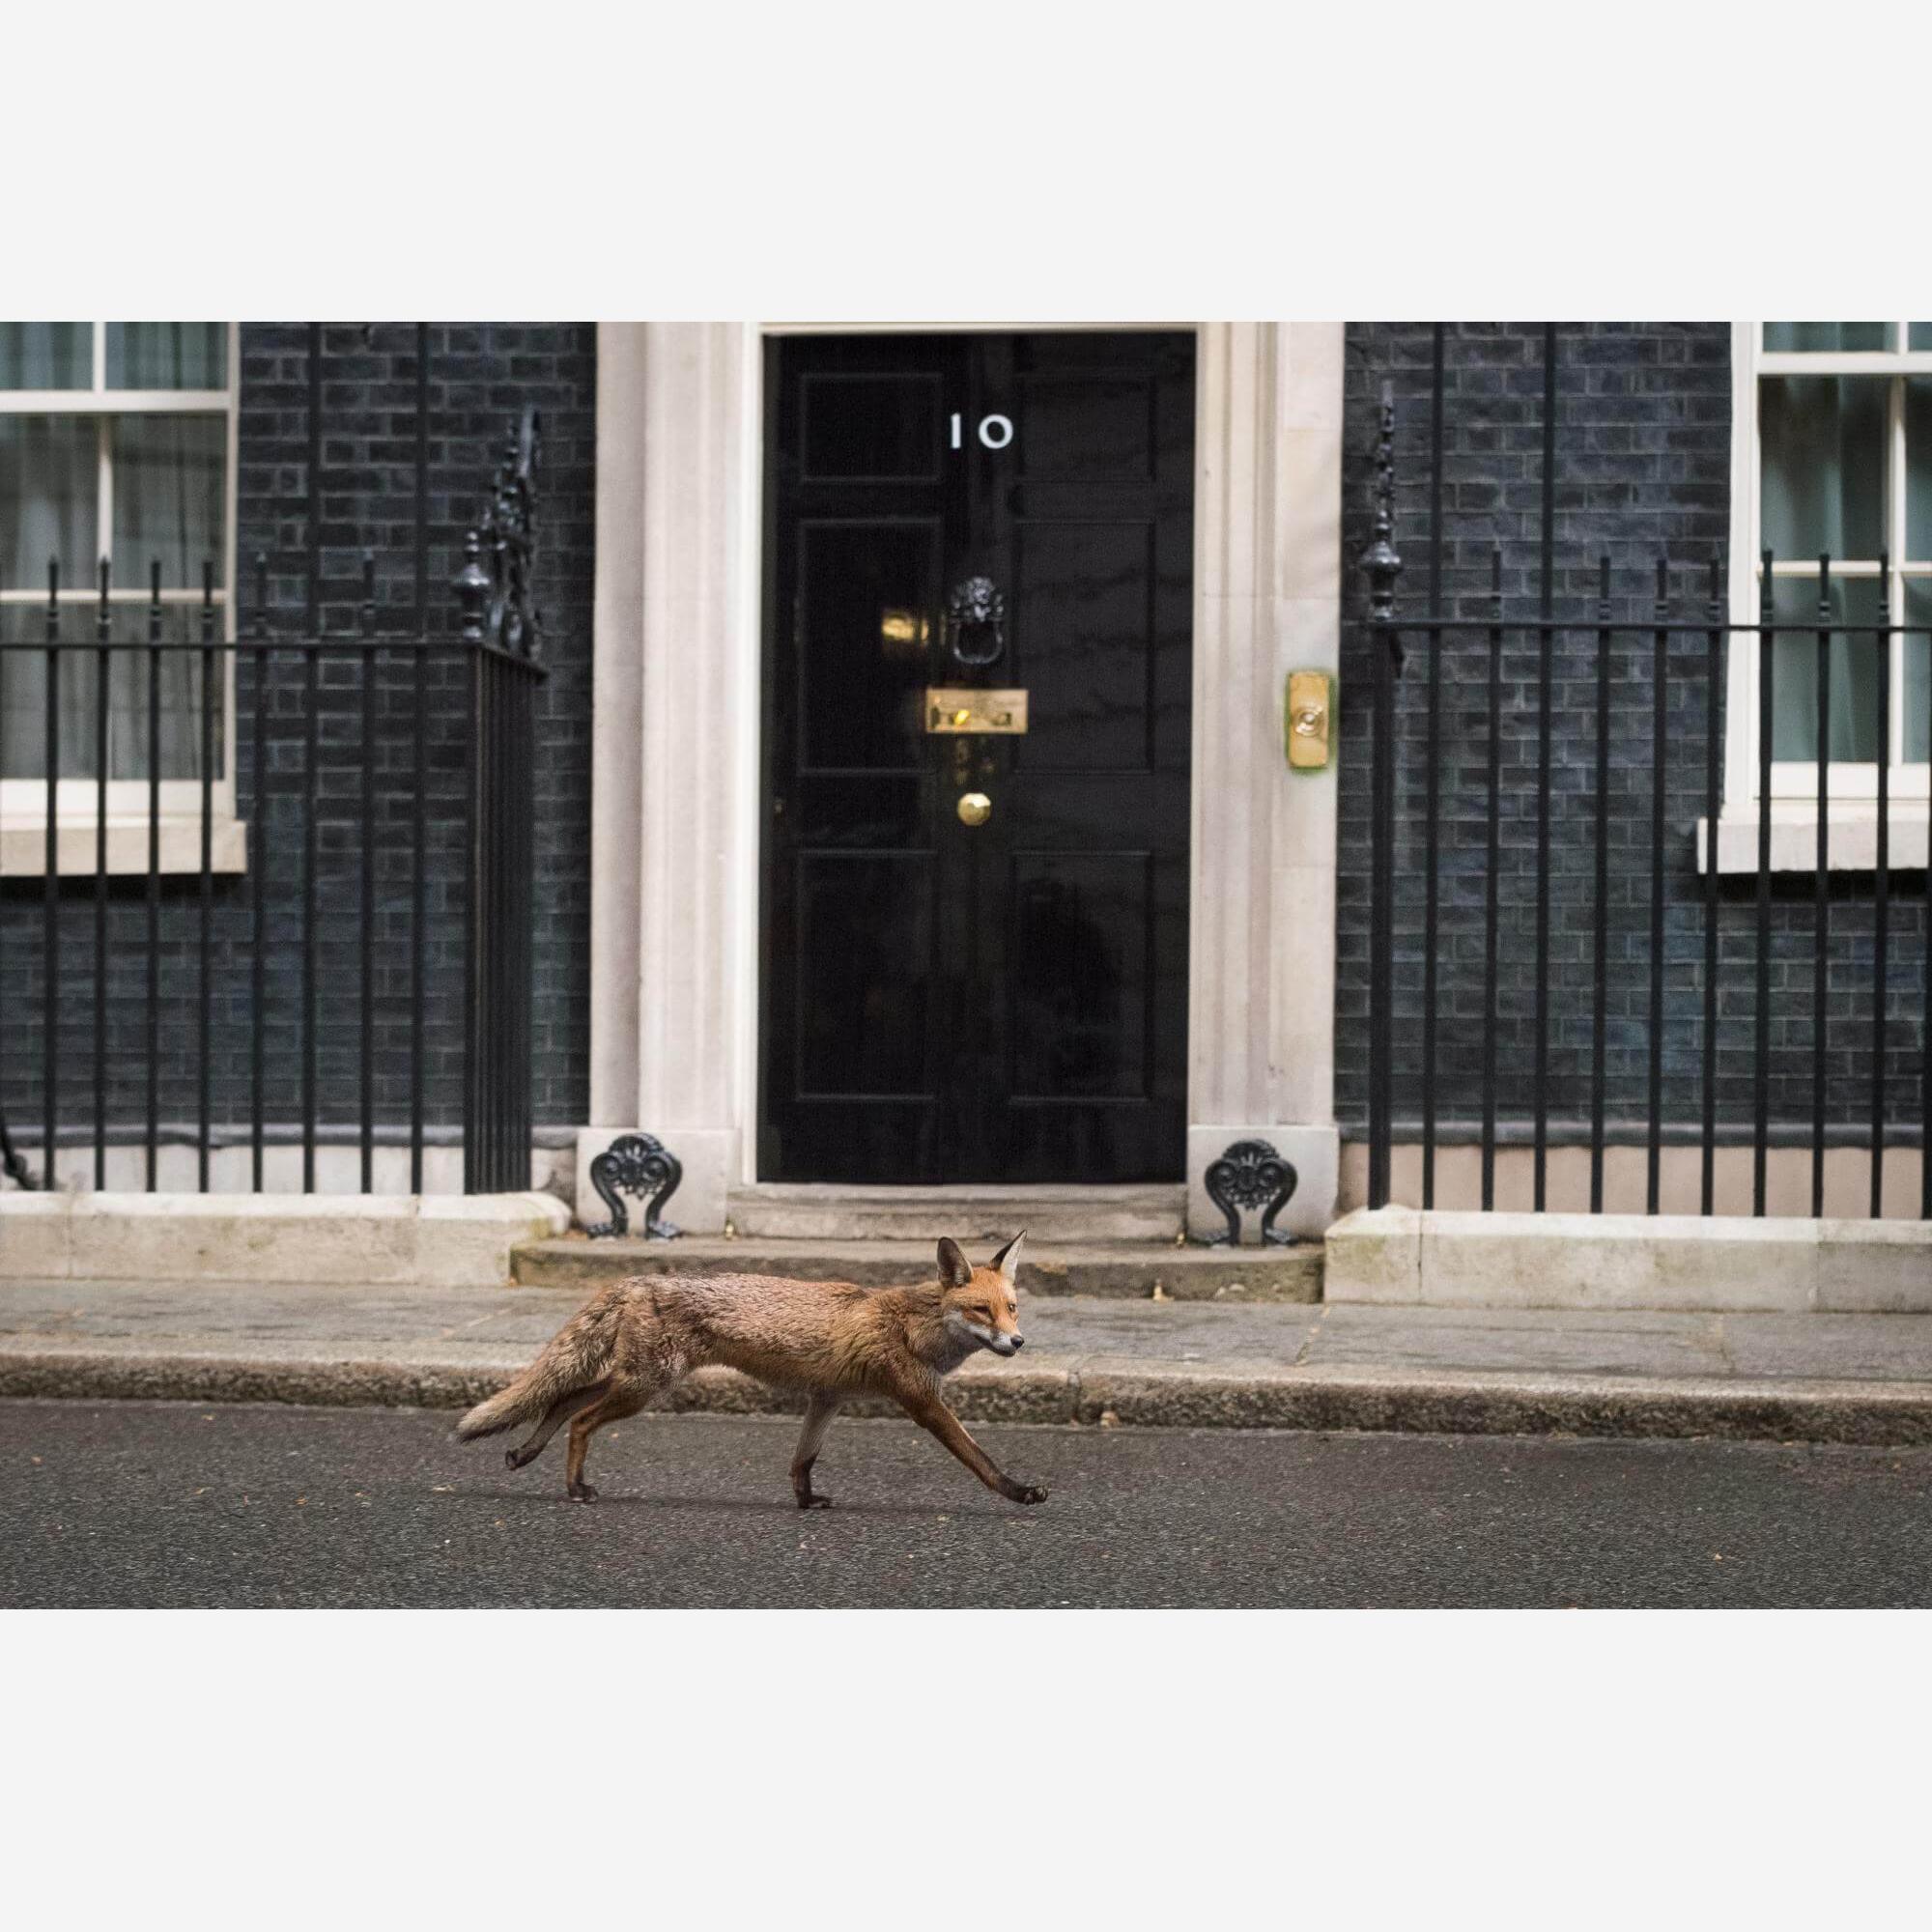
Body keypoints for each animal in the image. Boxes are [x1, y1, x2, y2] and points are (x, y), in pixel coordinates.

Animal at [450, 1236, 1043, 1507]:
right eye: (981, 1311)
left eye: (1012, 1308)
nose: (1017, 1342)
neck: (911, 1325)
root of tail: (640, 1278)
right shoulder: (921, 1402)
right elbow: (980, 1459)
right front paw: (1018, 1491)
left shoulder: (828, 1398)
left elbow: (803, 1459)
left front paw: (805, 1502)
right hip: (645, 1385)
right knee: (578, 1418)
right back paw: (575, 1487)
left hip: (636, 1380)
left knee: (561, 1399)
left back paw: (525, 1453)